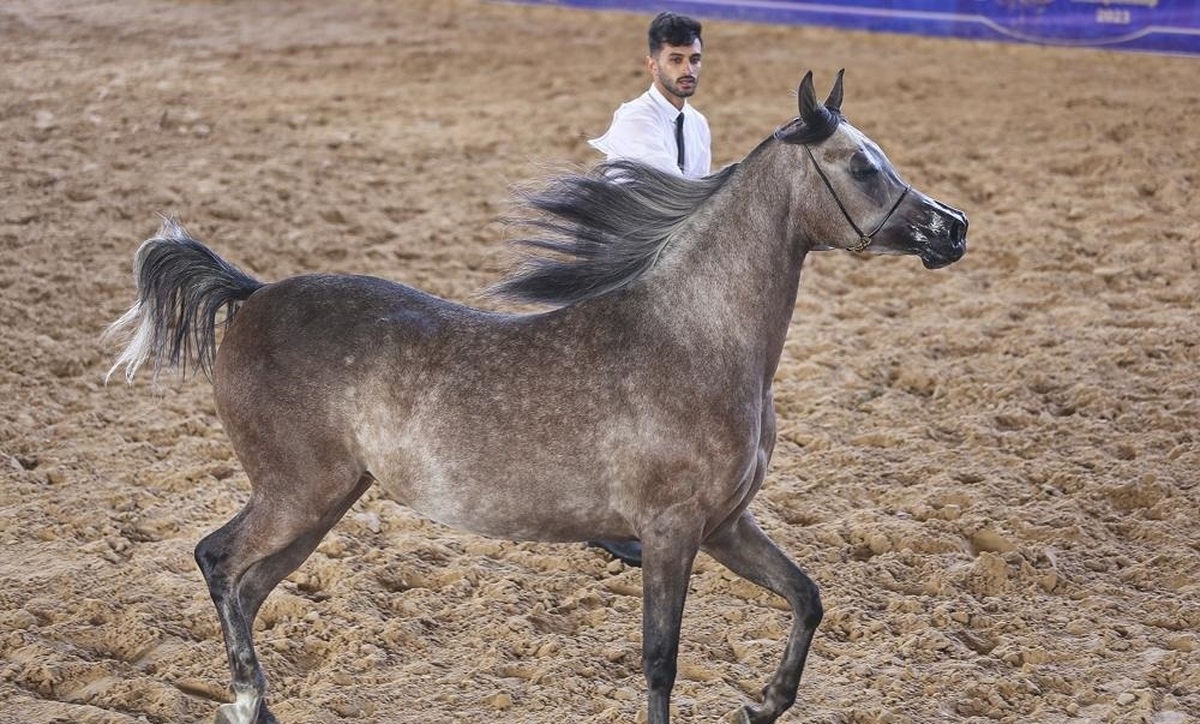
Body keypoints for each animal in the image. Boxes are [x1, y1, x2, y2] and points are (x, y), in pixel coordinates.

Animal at [103, 69, 964, 724]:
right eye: (861, 165)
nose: (952, 228)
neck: (696, 337)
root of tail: (252, 297)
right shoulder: (671, 531)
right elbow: (660, 659)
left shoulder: (725, 527)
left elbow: (807, 598)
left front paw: (763, 705)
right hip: (296, 492)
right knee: (218, 562)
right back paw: (249, 699)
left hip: (326, 501)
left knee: (247, 587)